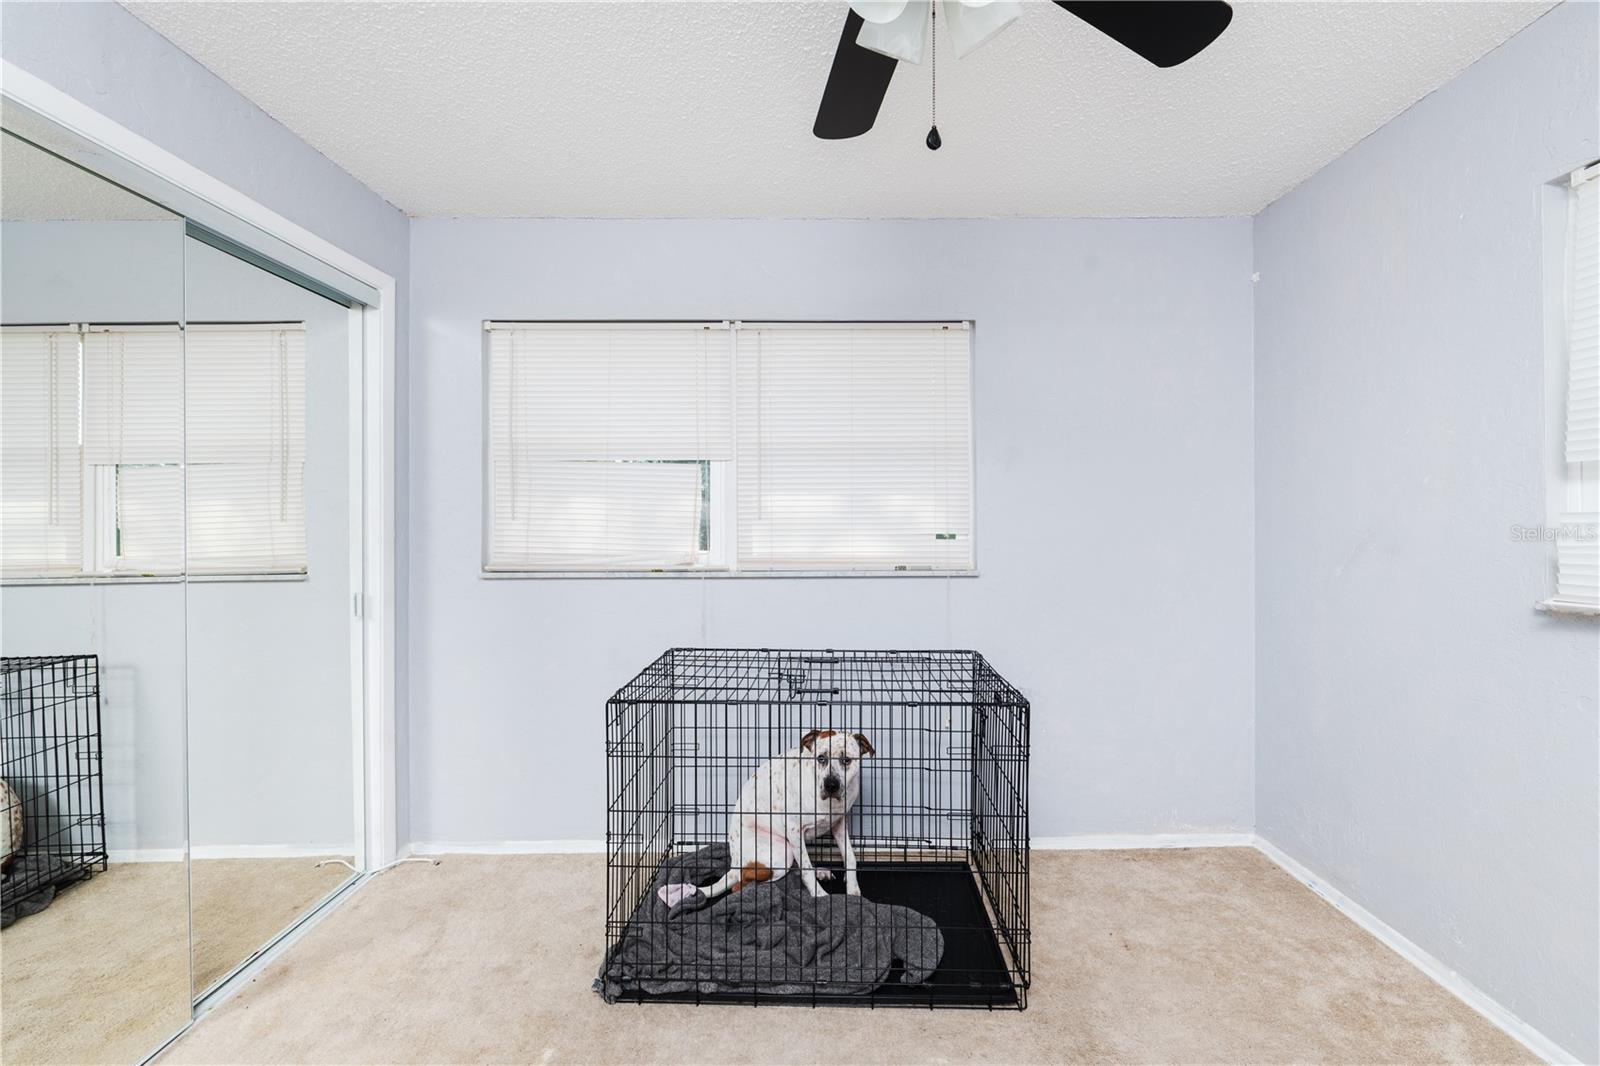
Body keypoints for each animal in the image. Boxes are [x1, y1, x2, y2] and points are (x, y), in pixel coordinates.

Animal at [657, 729, 874, 908]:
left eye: (847, 760)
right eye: (821, 758)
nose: (831, 785)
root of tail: (735, 863)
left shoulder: (839, 824)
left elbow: (850, 858)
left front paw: (853, 891)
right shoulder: (794, 831)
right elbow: (806, 868)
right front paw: (819, 896)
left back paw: (819, 871)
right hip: (782, 850)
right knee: (741, 884)